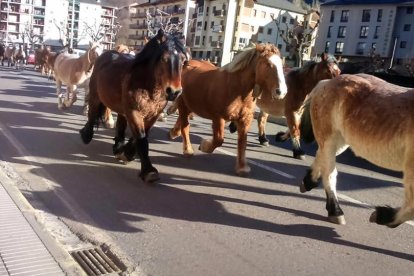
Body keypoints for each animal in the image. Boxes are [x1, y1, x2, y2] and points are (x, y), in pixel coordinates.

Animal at [79, 29, 188, 183]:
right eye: (163, 58)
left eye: (183, 60)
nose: (174, 92)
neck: (147, 86)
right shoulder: (134, 112)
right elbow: (142, 139)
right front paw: (149, 171)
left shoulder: (152, 115)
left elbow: (141, 137)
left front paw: (126, 153)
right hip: (96, 96)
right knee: (93, 113)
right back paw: (86, 134)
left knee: (120, 125)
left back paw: (118, 147)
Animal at [168, 44, 288, 176]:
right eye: (267, 64)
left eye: (281, 65)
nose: (281, 92)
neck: (236, 88)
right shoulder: (218, 117)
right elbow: (219, 140)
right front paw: (204, 146)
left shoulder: (245, 119)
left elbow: (242, 142)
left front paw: (242, 167)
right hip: (184, 104)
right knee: (185, 125)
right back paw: (187, 149)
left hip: (191, 105)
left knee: (182, 121)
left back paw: (174, 133)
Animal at [300, 72, 414, 227]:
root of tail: (326, 83)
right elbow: (411, 207)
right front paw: (381, 215)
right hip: (330, 139)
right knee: (329, 173)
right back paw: (335, 211)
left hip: (339, 142)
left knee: (321, 156)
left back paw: (308, 182)